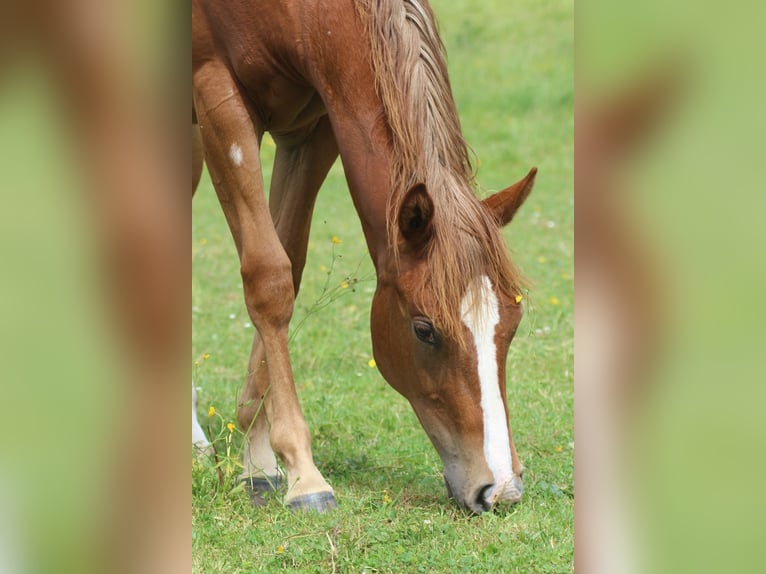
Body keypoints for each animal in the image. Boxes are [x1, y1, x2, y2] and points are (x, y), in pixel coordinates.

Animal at [192, 0, 537, 513]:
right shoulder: (216, 94)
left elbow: (289, 263)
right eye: (424, 330)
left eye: (512, 322)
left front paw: (258, 462)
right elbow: (267, 277)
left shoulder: (313, 127)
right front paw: (304, 475)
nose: (501, 488)